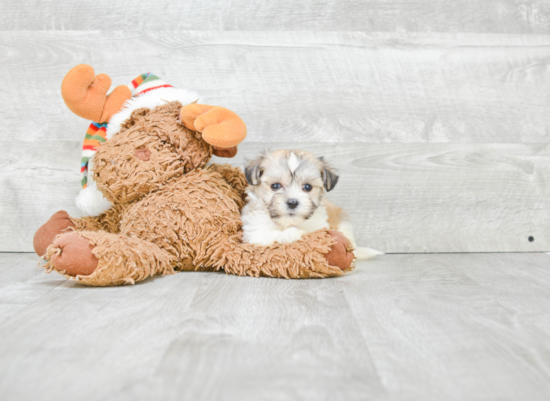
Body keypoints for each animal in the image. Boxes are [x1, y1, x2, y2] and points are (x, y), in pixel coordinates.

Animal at [244, 148, 382, 258]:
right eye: (275, 186)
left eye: (307, 187)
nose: (292, 202)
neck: (288, 223)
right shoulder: (254, 232)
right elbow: (268, 235)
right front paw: (291, 233)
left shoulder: (319, 227)